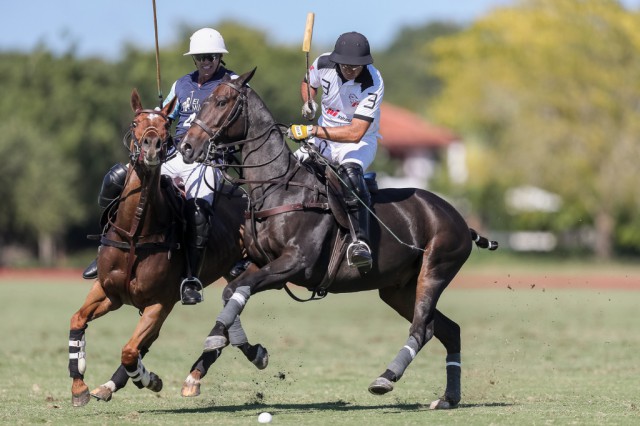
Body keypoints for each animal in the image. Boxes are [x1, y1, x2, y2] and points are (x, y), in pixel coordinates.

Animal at [69, 89, 268, 406]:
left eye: (165, 125)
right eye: (135, 122)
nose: (152, 147)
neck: (135, 233)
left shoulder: (161, 302)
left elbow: (130, 350)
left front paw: (149, 379)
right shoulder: (108, 291)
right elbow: (78, 320)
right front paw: (80, 387)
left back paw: (202, 373)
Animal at [178, 70, 498, 410]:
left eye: (222, 101)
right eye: (206, 99)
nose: (187, 147)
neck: (278, 188)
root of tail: (460, 219)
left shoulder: (294, 264)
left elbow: (239, 290)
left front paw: (221, 343)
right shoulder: (261, 264)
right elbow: (232, 291)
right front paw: (249, 350)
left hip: (434, 271)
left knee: (422, 328)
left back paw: (386, 378)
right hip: (398, 289)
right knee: (448, 329)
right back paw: (449, 397)